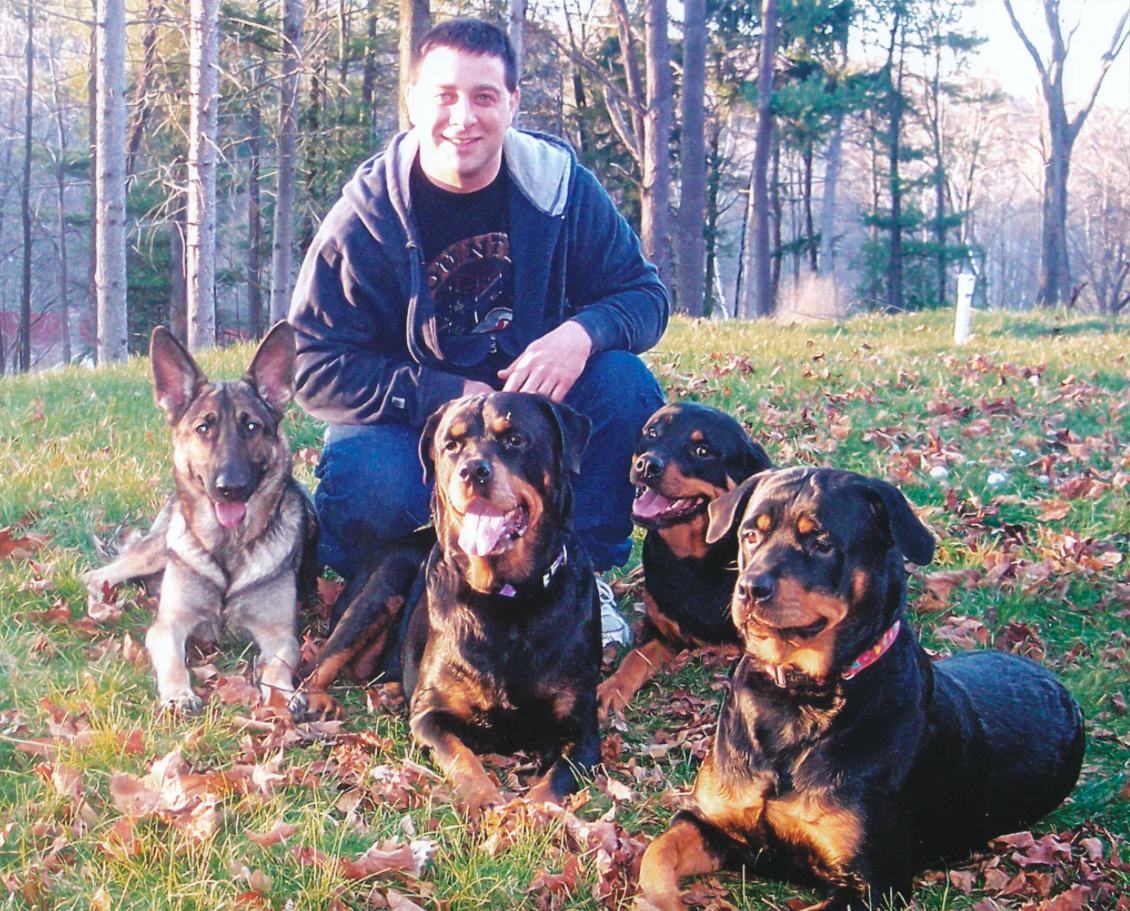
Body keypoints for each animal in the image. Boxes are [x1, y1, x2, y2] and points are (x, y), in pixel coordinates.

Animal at [82, 325, 318, 718]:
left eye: (251, 426)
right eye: (203, 428)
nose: (230, 488)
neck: (228, 546)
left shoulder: (279, 634)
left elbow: (277, 664)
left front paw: (284, 694)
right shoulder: (169, 626)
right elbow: (173, 661)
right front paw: (178, 694)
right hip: (153, 552)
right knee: (98, 575)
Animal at [637, 470, 1084, 911]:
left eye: (821, 544)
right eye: (750, 535)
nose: (749, 588)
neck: (797, 700)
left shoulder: (872, 883)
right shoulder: (711, 822)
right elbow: (655, 857)